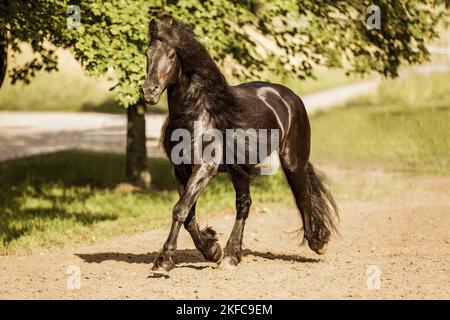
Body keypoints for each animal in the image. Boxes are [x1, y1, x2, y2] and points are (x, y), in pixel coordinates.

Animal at [142, 18, 338, 272]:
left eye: (173, 54)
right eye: (147, 53)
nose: (149, 91)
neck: (196, 116)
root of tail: (288, 96)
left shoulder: (204, 168)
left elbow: (180, 210)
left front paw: (164, 260)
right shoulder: (180, 170)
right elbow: (188, 215)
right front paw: (212, 250)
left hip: (293, 161)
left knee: (302, 196)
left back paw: (317, 241)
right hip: (240, 170)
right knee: (244, 204)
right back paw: (231, 255)